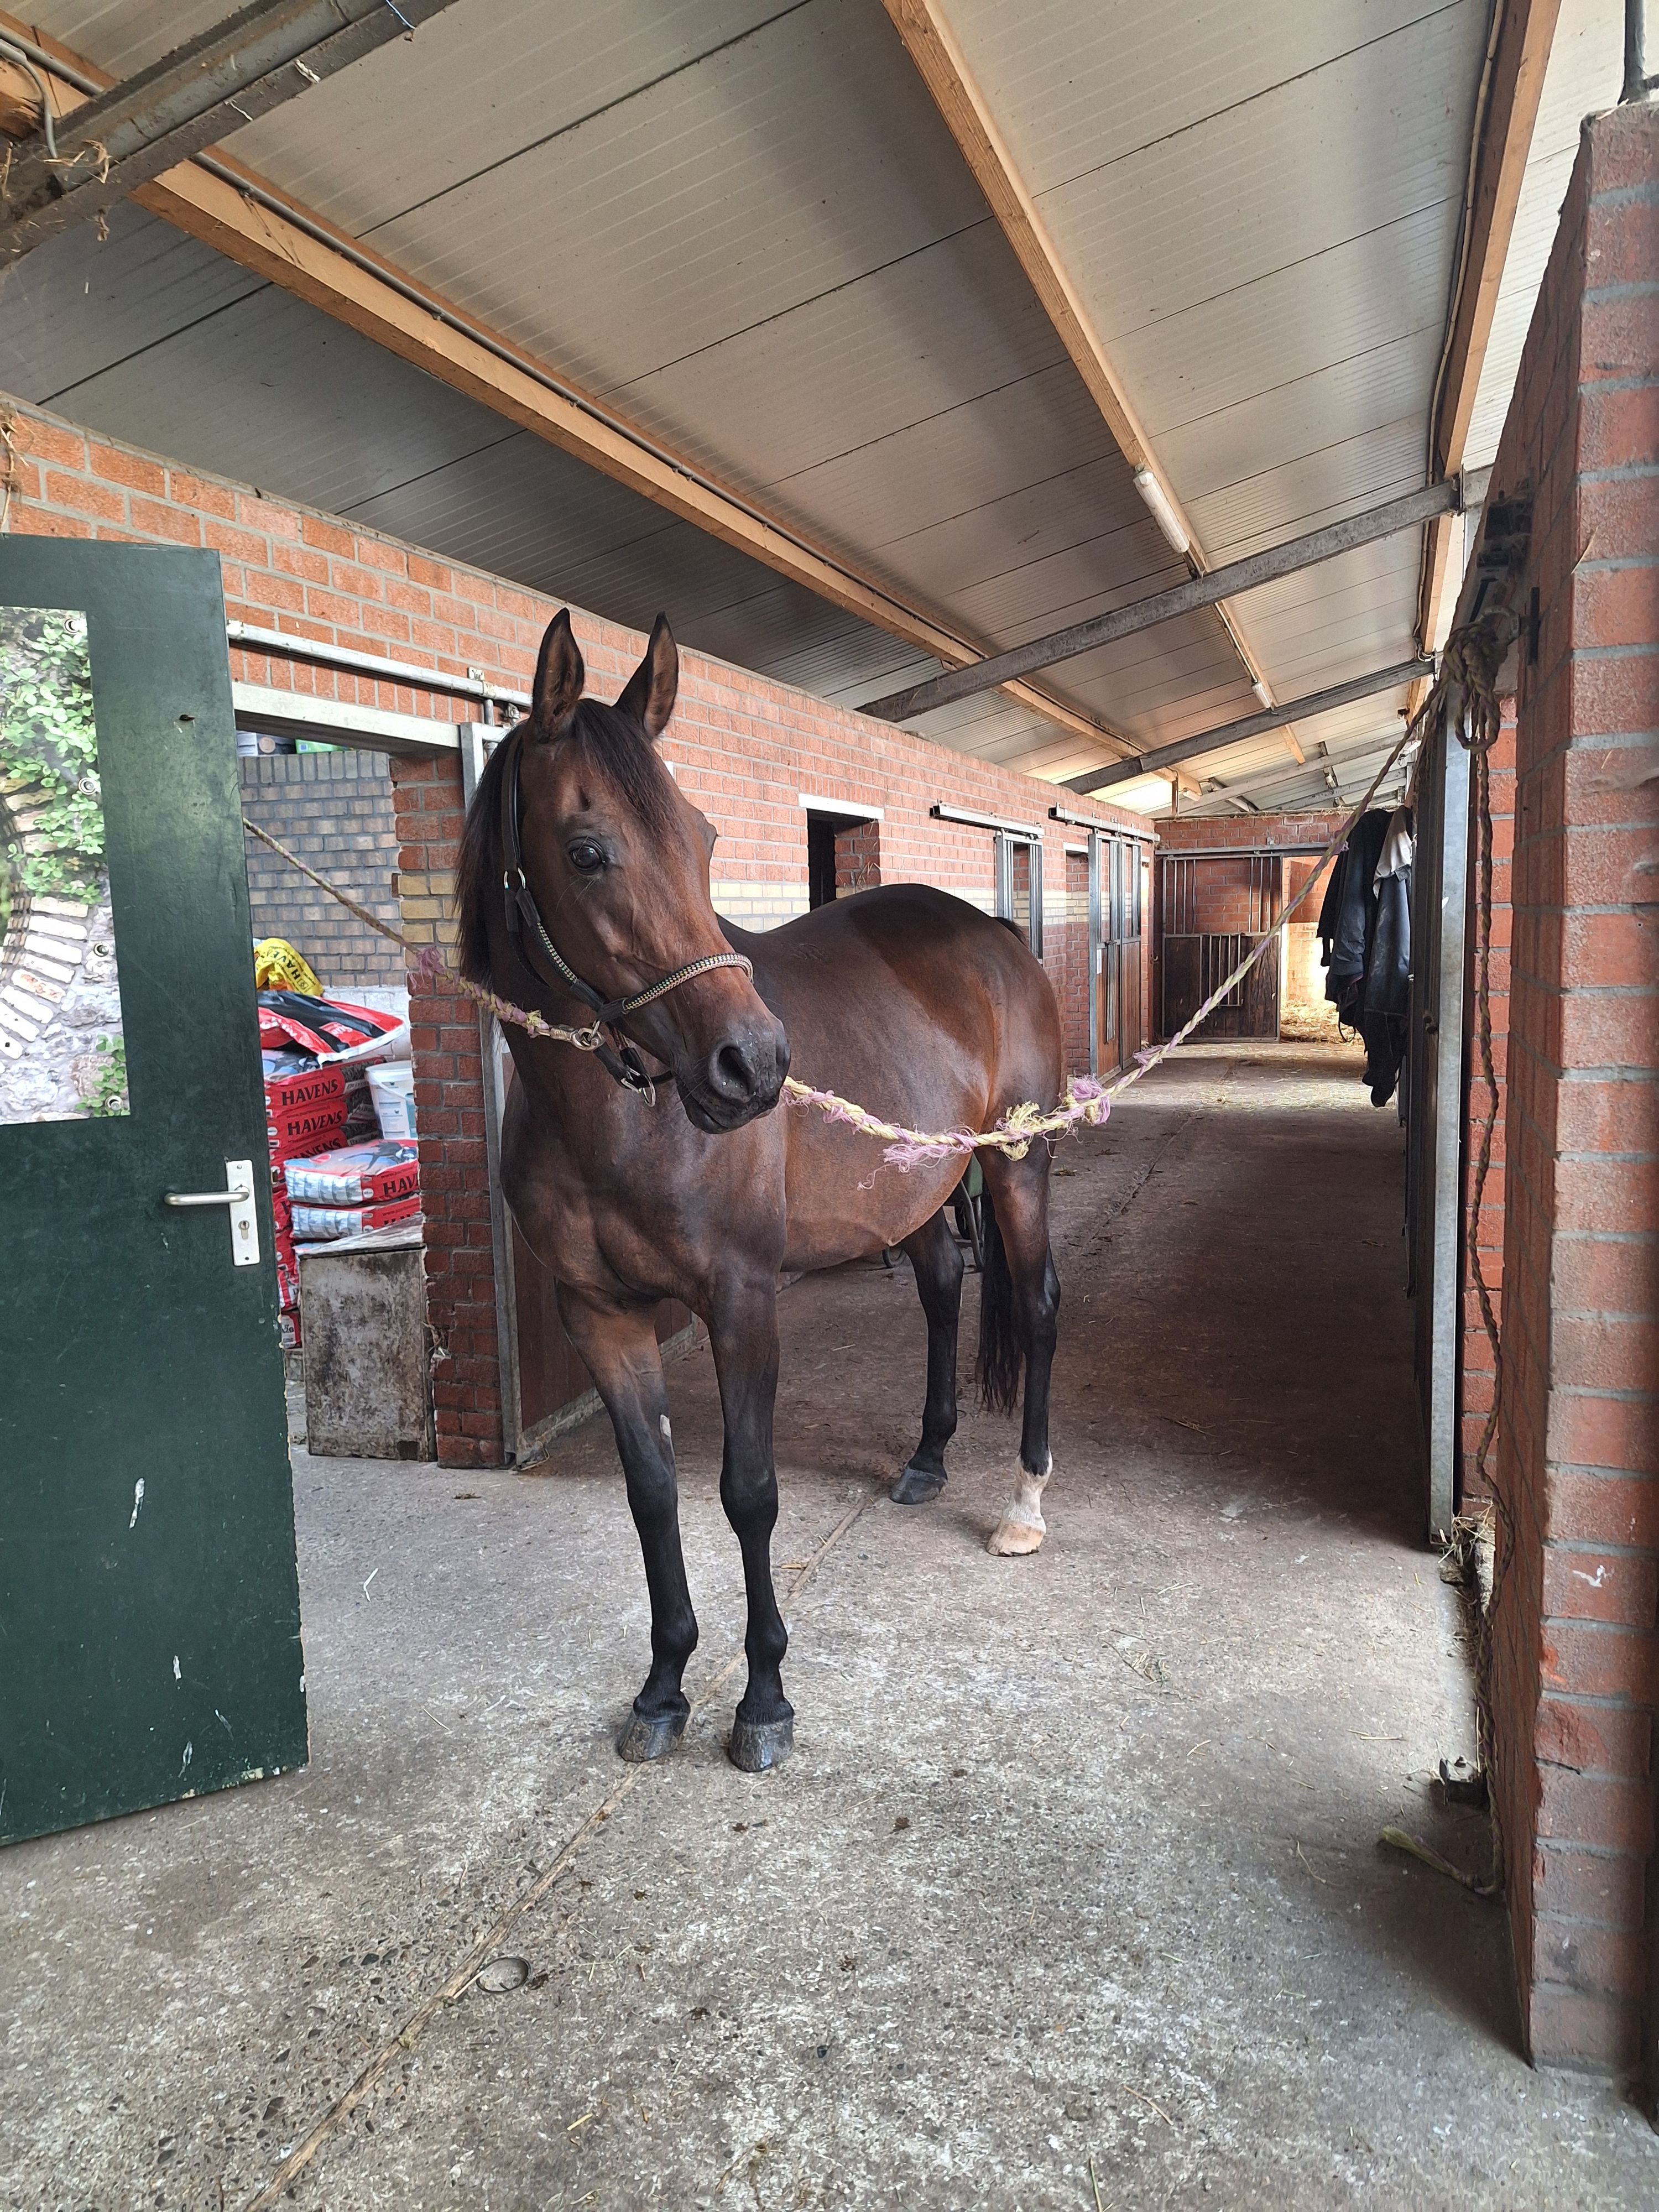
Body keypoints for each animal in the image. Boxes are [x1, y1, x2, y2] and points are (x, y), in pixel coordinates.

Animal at [456, 608, 1064, 1772]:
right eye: (587, 851)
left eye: (703, 839)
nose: (754, 1065)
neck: (624, 1116)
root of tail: (996, 934)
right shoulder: (600, 1315)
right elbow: (653, 1496)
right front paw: (662, 1688)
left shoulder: (741, 1300)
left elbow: (748, 1492)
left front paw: (765, 1696)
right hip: (918, 1189)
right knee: (940, 1290)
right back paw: (926, 1460)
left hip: (1017, 1169)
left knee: (1043, 1308)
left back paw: (1024, 1505)